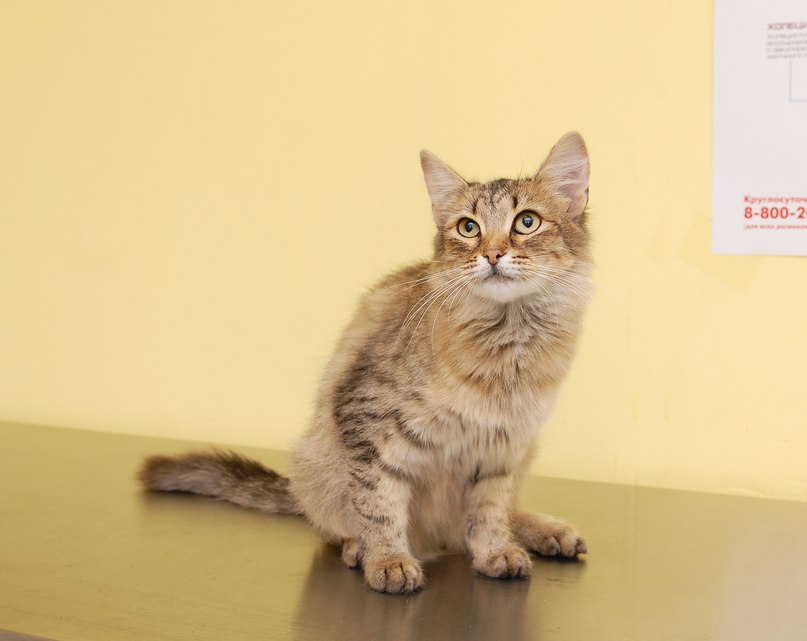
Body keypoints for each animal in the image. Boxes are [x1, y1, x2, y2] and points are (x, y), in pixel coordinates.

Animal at [139, 132, 592, 594]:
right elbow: (379, 504)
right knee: (339, 526)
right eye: (469, 228)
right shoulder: (370, 421)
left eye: (526, 222)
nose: (493, 255)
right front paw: (388, 560)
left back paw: (547, 532)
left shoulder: (504, 448)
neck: (507, 344)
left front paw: (495, 552)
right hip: (313, 463)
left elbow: (489, 513)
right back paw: (359, 549)